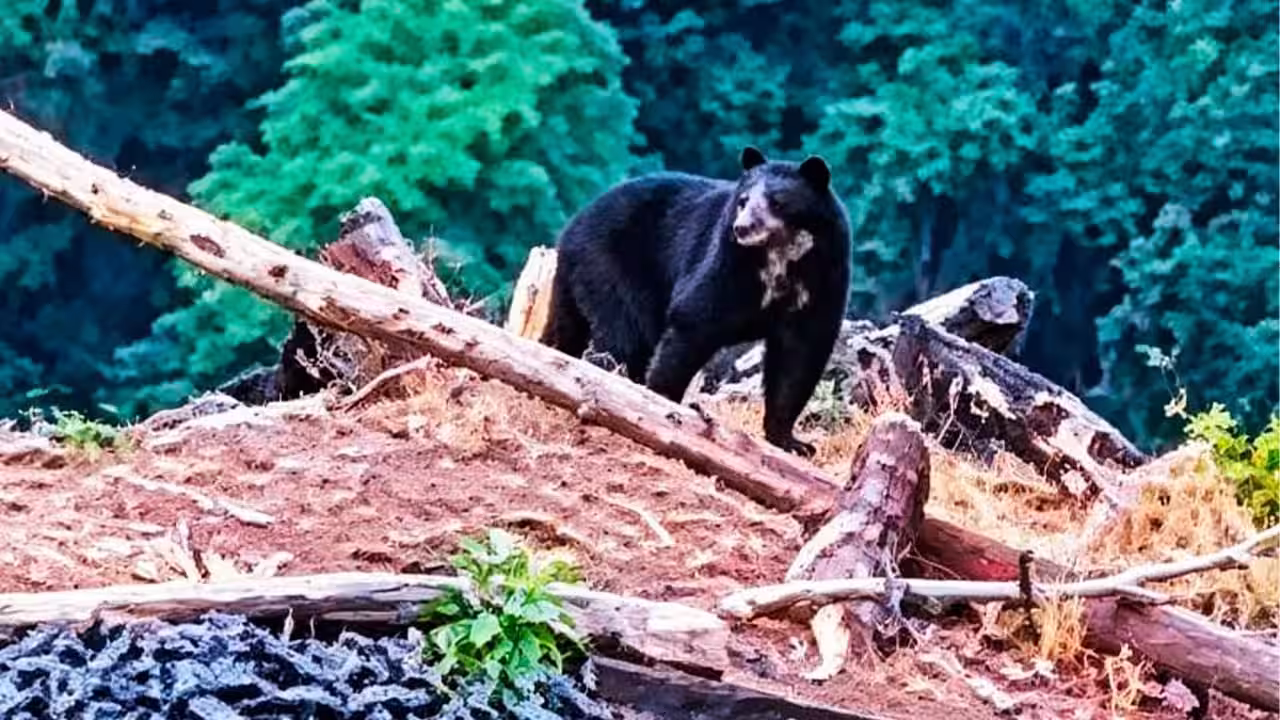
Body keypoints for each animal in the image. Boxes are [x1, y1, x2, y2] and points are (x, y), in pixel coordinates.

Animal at [539, 145, 851, 458]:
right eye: (743, 201)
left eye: (777, 202)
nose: (742, 228)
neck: (780, 258)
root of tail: (572, 226)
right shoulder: (728, 263)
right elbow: (694, 317)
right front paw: (662, 403)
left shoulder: (822, 282)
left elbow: (799, 357)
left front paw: (792, 442)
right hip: (612, 266)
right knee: (625, 335)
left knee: (571, 327)